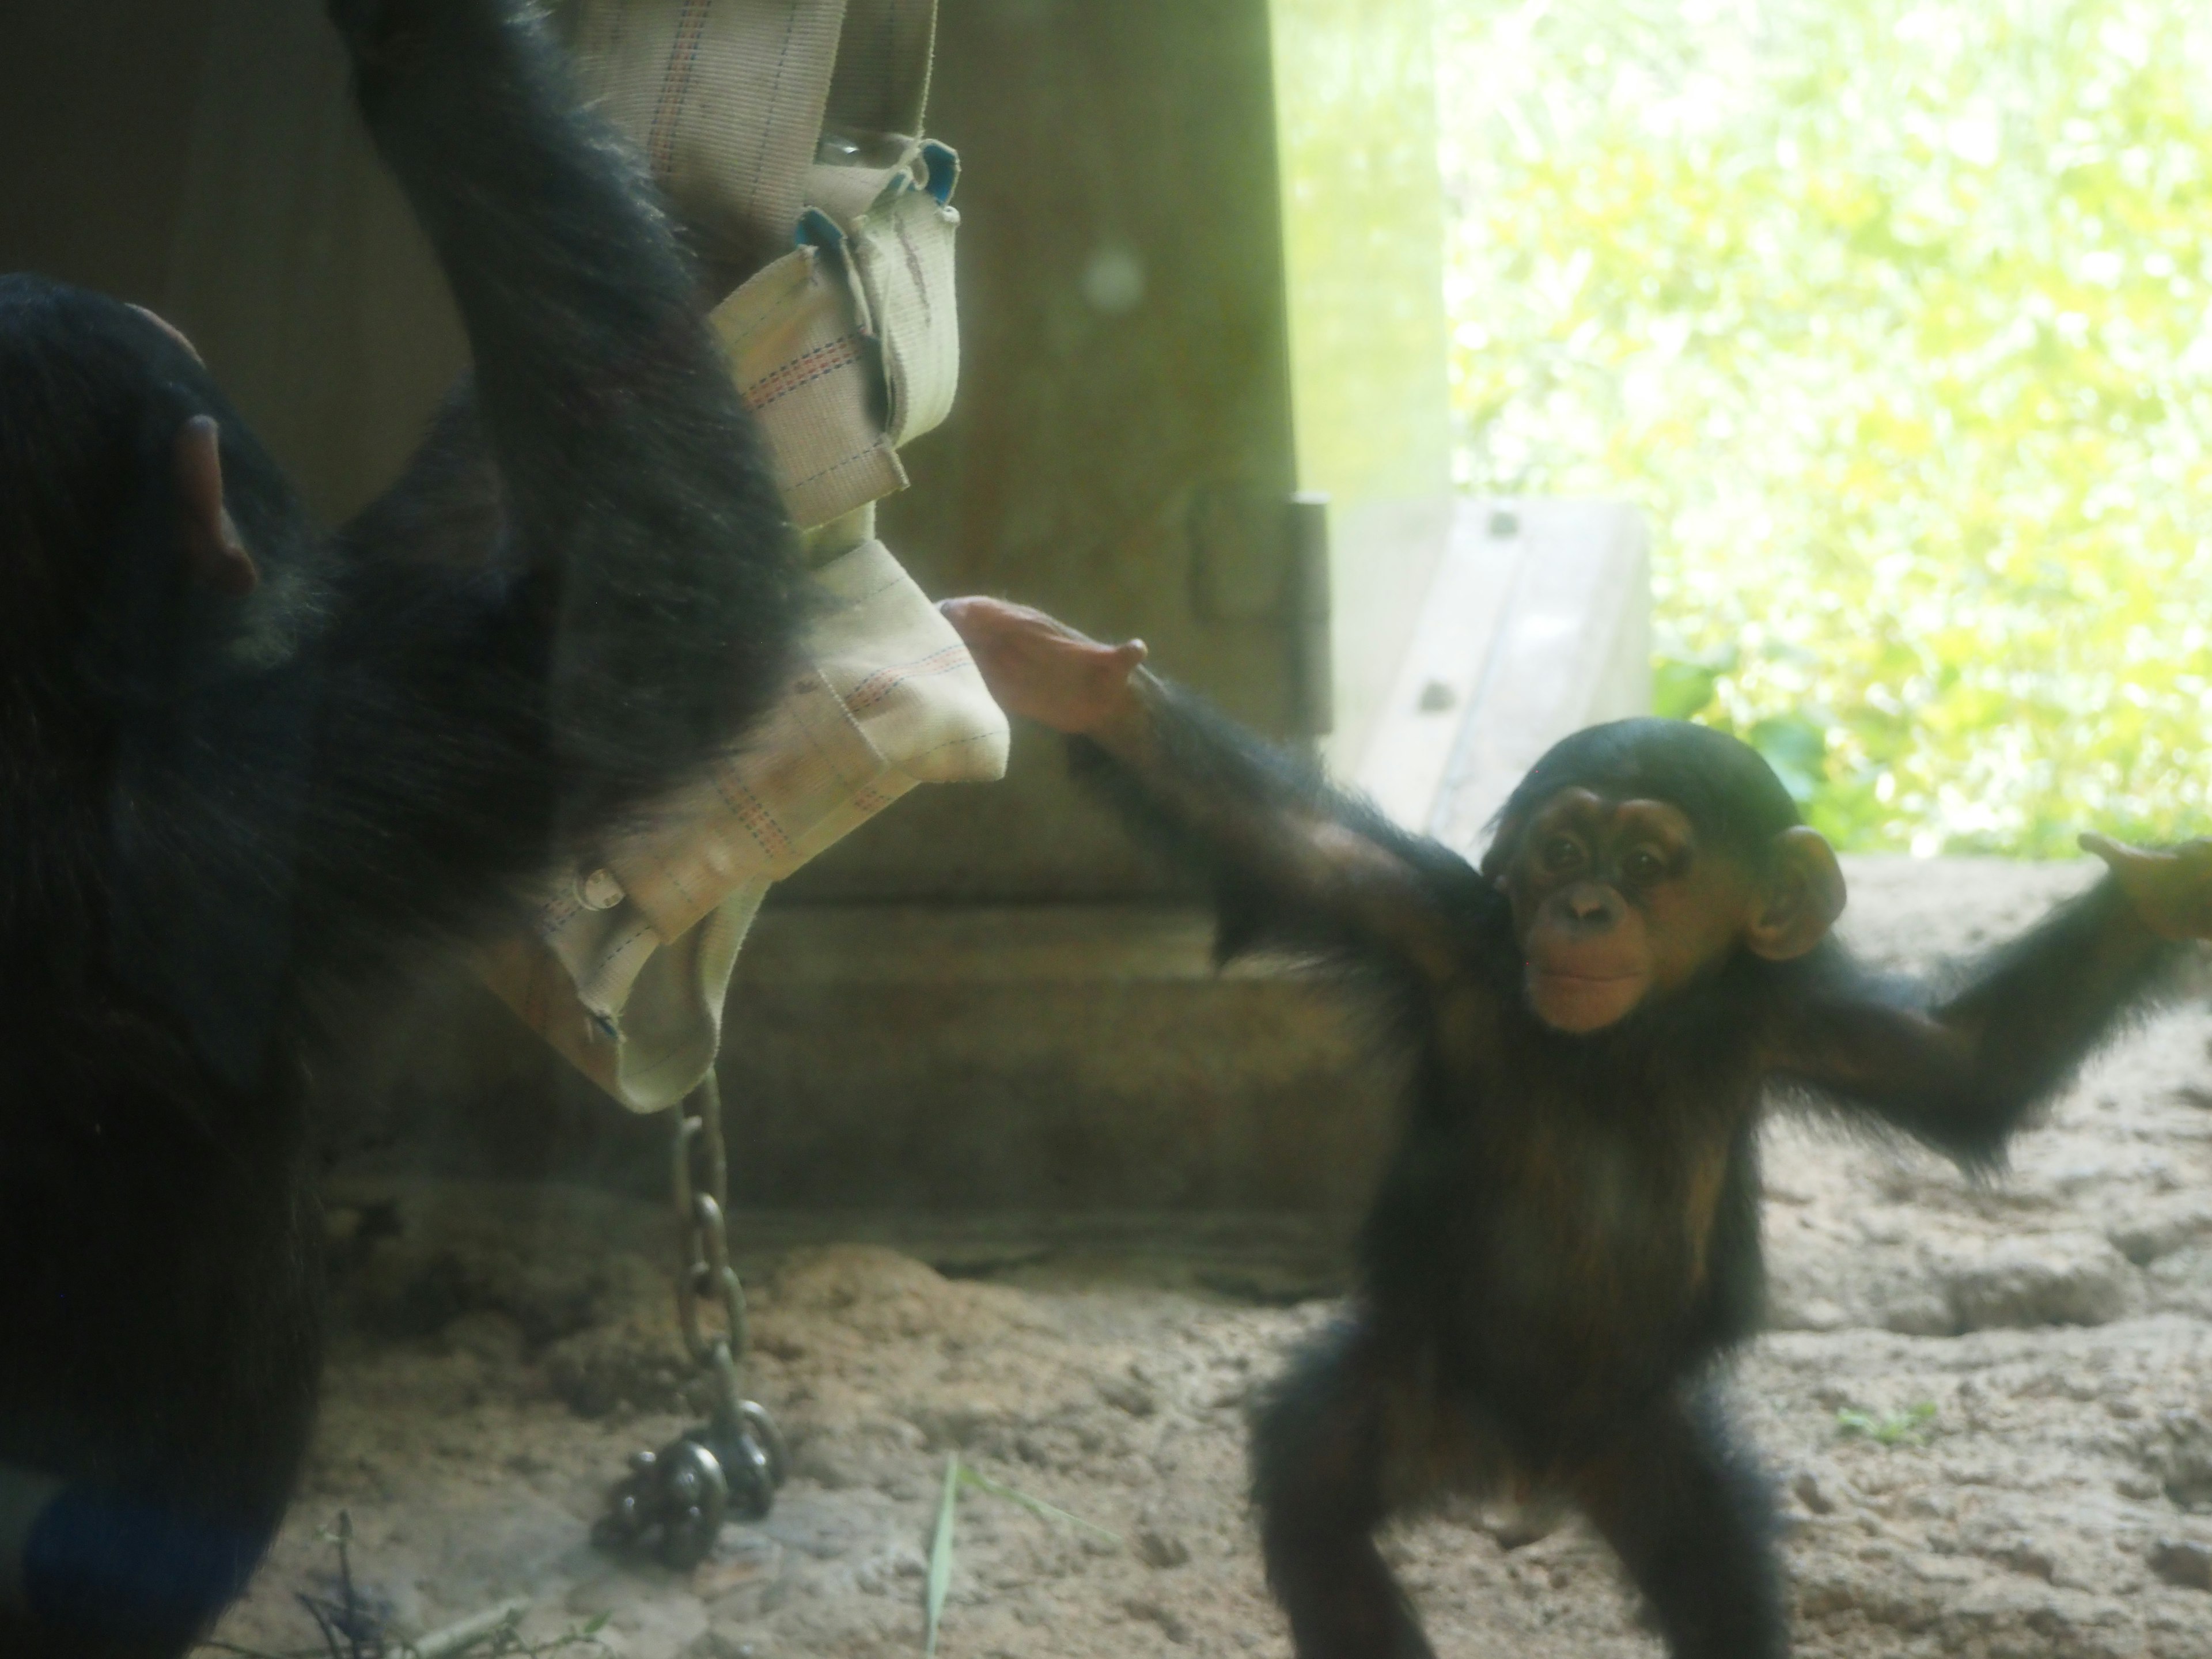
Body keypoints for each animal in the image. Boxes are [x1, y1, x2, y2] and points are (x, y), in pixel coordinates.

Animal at [938, 601, 2212, 1659]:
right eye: (1562, 850)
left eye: (1647, 862)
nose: (1587, 904)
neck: (1626, 1034)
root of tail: (1518, 1467)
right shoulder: (1432, 928)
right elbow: (1282, 838)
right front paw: (1076, 684)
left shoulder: (1801, 1020)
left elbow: (1968, 1064)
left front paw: (2163, 890)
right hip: (1408, 1392)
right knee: (1317, 1505)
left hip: (1647, 1441)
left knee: (1719, 1574)